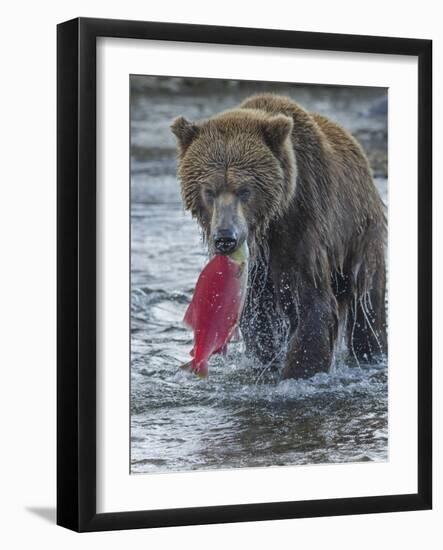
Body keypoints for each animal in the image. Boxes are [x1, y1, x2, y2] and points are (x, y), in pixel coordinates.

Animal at [172, 94, 386, 380]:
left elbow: (313, 304)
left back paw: (371, 353)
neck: (269, 224)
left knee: (367, 307)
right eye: (209, 190)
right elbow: (257, 315)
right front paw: (267, 361)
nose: (226, 237)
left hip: (360, 234)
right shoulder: (257, 265)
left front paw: (298, 372)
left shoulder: (303, 226)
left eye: (245, 190)